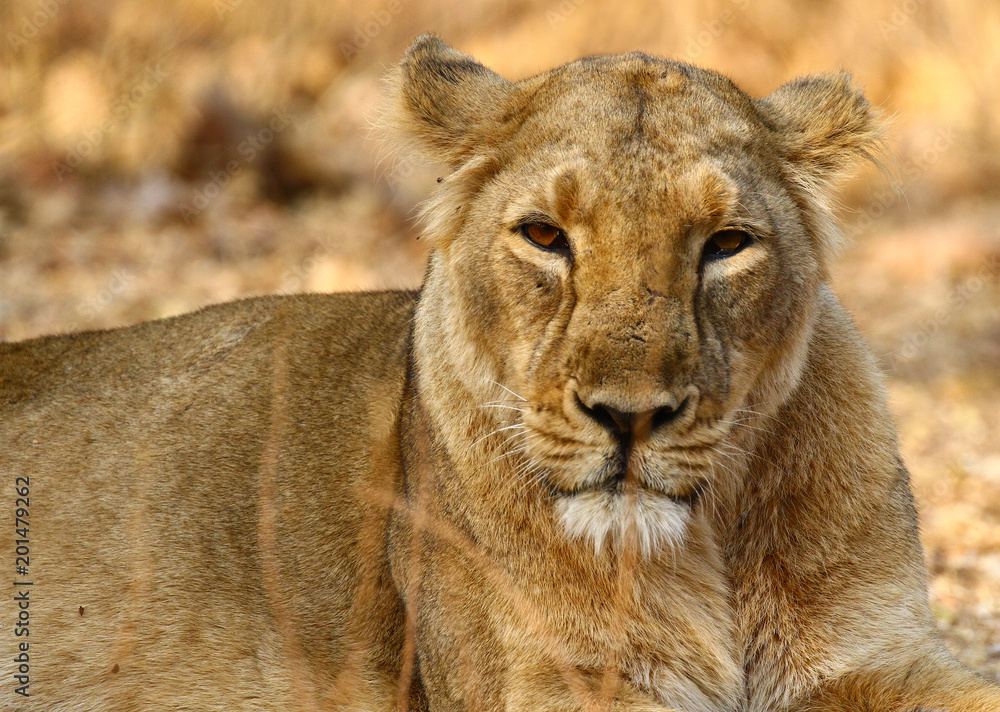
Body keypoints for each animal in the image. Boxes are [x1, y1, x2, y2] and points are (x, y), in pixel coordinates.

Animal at [2, 34, 998, 712]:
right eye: (545, 236)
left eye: (726, 245)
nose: (629, 415)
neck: (705, 542)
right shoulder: (564, 683)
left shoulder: (880, 656)